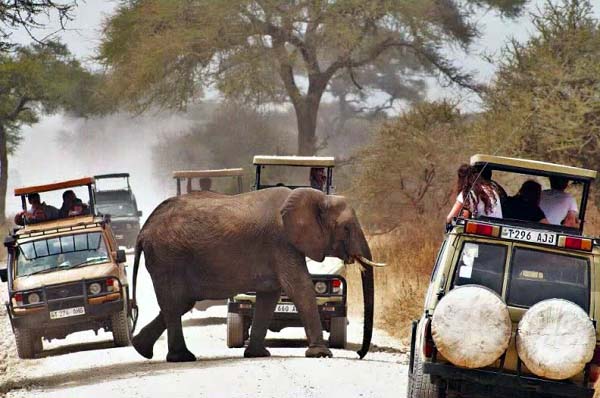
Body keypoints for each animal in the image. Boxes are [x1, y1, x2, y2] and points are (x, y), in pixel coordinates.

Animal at [131, 187, 384, 360]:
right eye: (347, 228)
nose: (360, 354)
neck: (317, 198)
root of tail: (143, 231)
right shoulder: (282, 242)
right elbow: (299, 286)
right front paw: (321, 354)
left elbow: (270, 295)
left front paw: (258, 354)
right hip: (168, 258)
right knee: (175, 303)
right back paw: (182, 358)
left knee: (180, 302)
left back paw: (141, 349)